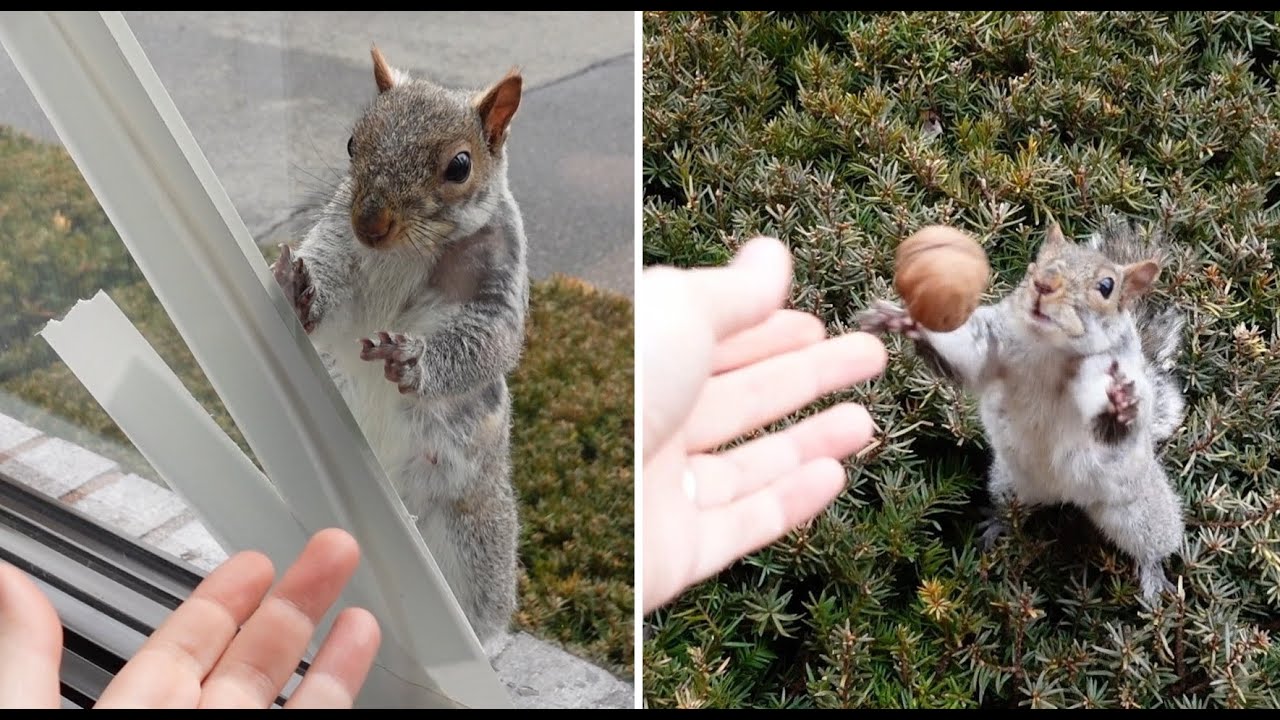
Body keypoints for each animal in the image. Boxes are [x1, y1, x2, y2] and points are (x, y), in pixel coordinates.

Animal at [270, 46, 528, 644]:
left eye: (459, 166)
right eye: (351, 143)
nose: (370, 222)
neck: (406, 253)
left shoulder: (499, 278)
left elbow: (492, 338)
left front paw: (411, 360)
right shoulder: (340, 244)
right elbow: (331, 295)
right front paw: (299, 290)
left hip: (474, 538)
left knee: (481, 612)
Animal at [857, 218, 1188, 601]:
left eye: (1107, 286)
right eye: (1037, 262)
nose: (1044, 284)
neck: (1048, 348)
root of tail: (1064, 494)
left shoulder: (1107, 370)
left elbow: (1110, 422)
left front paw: (1117, 406)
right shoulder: (991, 344)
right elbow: (967, 359)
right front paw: (905, 322)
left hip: (1139, 509)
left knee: (1154, 542)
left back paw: (1153, 575)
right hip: (1009, 482)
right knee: (1010, 506)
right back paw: (996, 525)